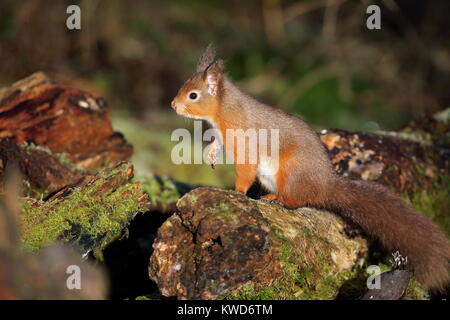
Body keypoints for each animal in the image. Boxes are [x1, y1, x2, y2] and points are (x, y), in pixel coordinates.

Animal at [171, 45, 450, 292]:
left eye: (193, 95)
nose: (173, 105)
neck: (223, 111)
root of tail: (325, 185)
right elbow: (216, 145)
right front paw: (211, 154)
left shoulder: (246, 142)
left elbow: (246, 170)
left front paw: (237, 192)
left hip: (290, 172)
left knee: (297, 200)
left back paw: (277, 199)